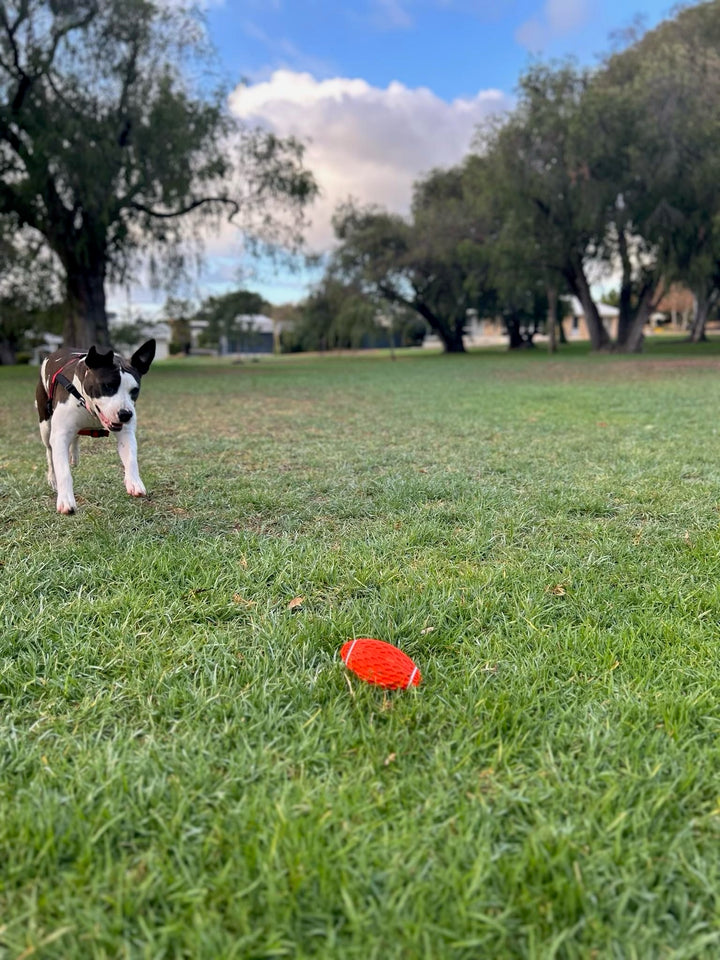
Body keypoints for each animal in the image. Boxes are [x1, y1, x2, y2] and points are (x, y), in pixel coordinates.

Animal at [35, 340, 156, 512]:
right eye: (108, 386)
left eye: (135, 390)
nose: (126, 414)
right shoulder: (60, 435)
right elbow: (63, 470)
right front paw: (65, 500)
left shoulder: (125, 432)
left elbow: (131, 458)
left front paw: (134, 481)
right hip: (45, 424)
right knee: (49, 451)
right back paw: (52, 478)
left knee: (75, 436)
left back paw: (74, 456)